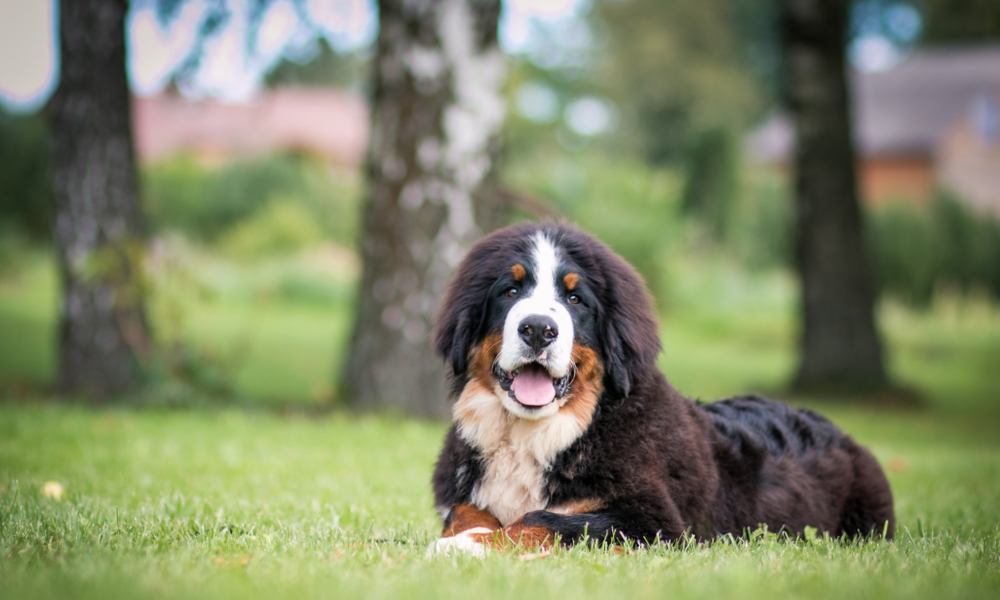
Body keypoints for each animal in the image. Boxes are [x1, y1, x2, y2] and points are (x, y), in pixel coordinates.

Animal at [426, 223, 896, 556]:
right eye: (510, 290)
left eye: (575, 300)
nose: (539, 329)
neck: (537, 434)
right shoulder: (465, 493)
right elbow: (465, 511)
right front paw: (467, 533)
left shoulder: (654, 522)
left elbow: (543, 519)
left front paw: (466, 545)